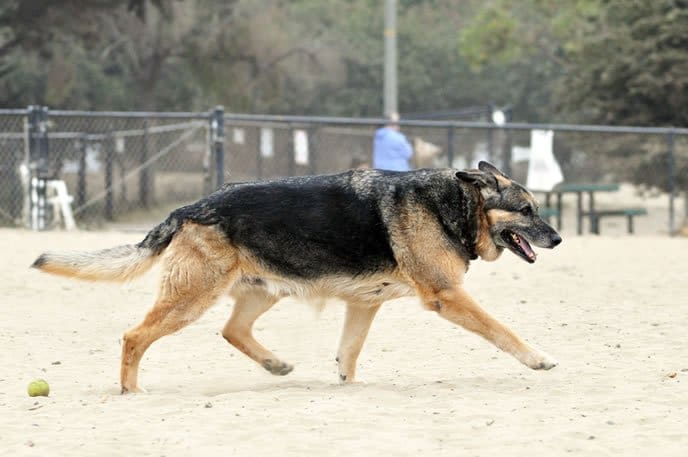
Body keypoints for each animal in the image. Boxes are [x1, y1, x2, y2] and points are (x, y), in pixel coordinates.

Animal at [29, 160, 560, 392]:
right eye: (527, 210)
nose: (557, 238)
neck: (452, 204)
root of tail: (189, 208)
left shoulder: (364, 305)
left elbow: (349, 354)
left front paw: (346, 385)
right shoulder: (448, 296)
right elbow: (501, 330)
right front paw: (536, 359)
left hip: (262, 293)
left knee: (233, 330)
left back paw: (276, 365)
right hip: (189, 300)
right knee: (134, 336)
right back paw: (131, 391)